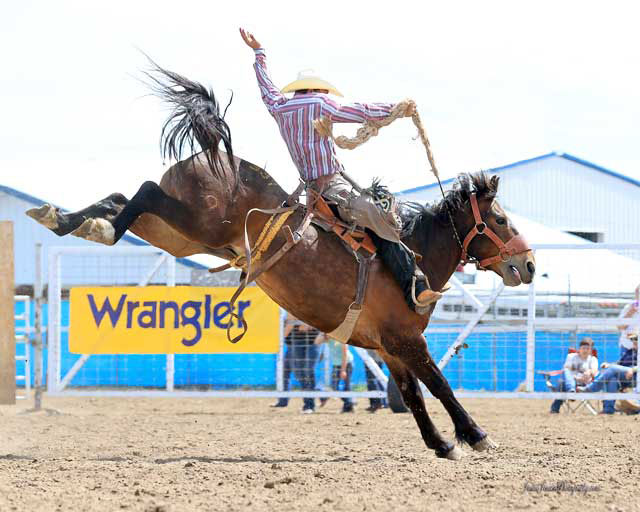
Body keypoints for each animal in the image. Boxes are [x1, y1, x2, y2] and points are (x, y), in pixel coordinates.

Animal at [26, 64, 536, 460]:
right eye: (501, 219)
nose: (530, 265)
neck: (413, 258)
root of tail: (218, 155)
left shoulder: (391, 347)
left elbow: (412, 396)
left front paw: (441, 444)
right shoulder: (407, 340)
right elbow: (439, 385)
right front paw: (475, 435)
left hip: (176, 235)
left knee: (121, 198)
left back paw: (69, 220)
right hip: (193, 223)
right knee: (145, 191)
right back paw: (90, 226)